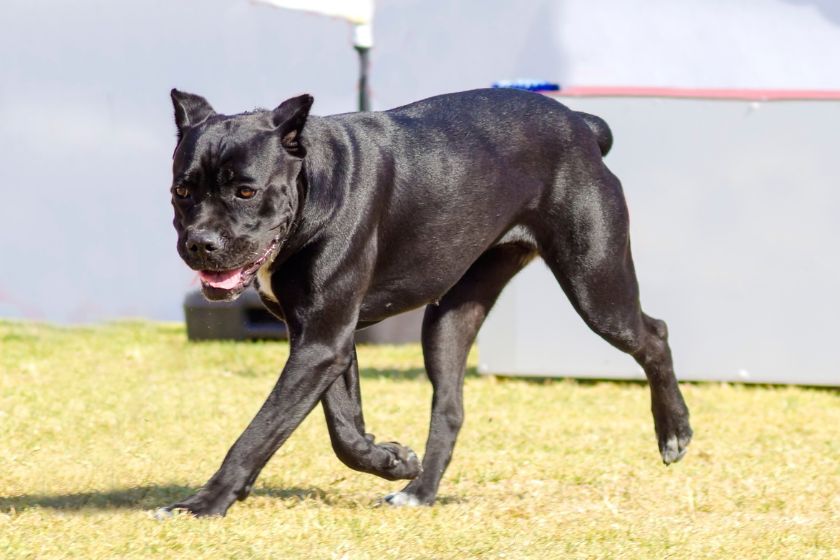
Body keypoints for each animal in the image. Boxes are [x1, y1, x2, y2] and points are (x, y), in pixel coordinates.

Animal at [161, 88, 692, 516]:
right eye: (182, 190)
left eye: (246, 191)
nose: (201, 243)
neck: (310, 182)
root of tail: (582, 125)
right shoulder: (323, 339)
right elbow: (342, 428)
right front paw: (392, 459)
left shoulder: (322, 342)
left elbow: (261, 430)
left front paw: (204, 502)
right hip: (448, 321)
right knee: (450, 408)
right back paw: (418, 492)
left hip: (596, 286)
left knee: (655, 335)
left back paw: (674, 432)